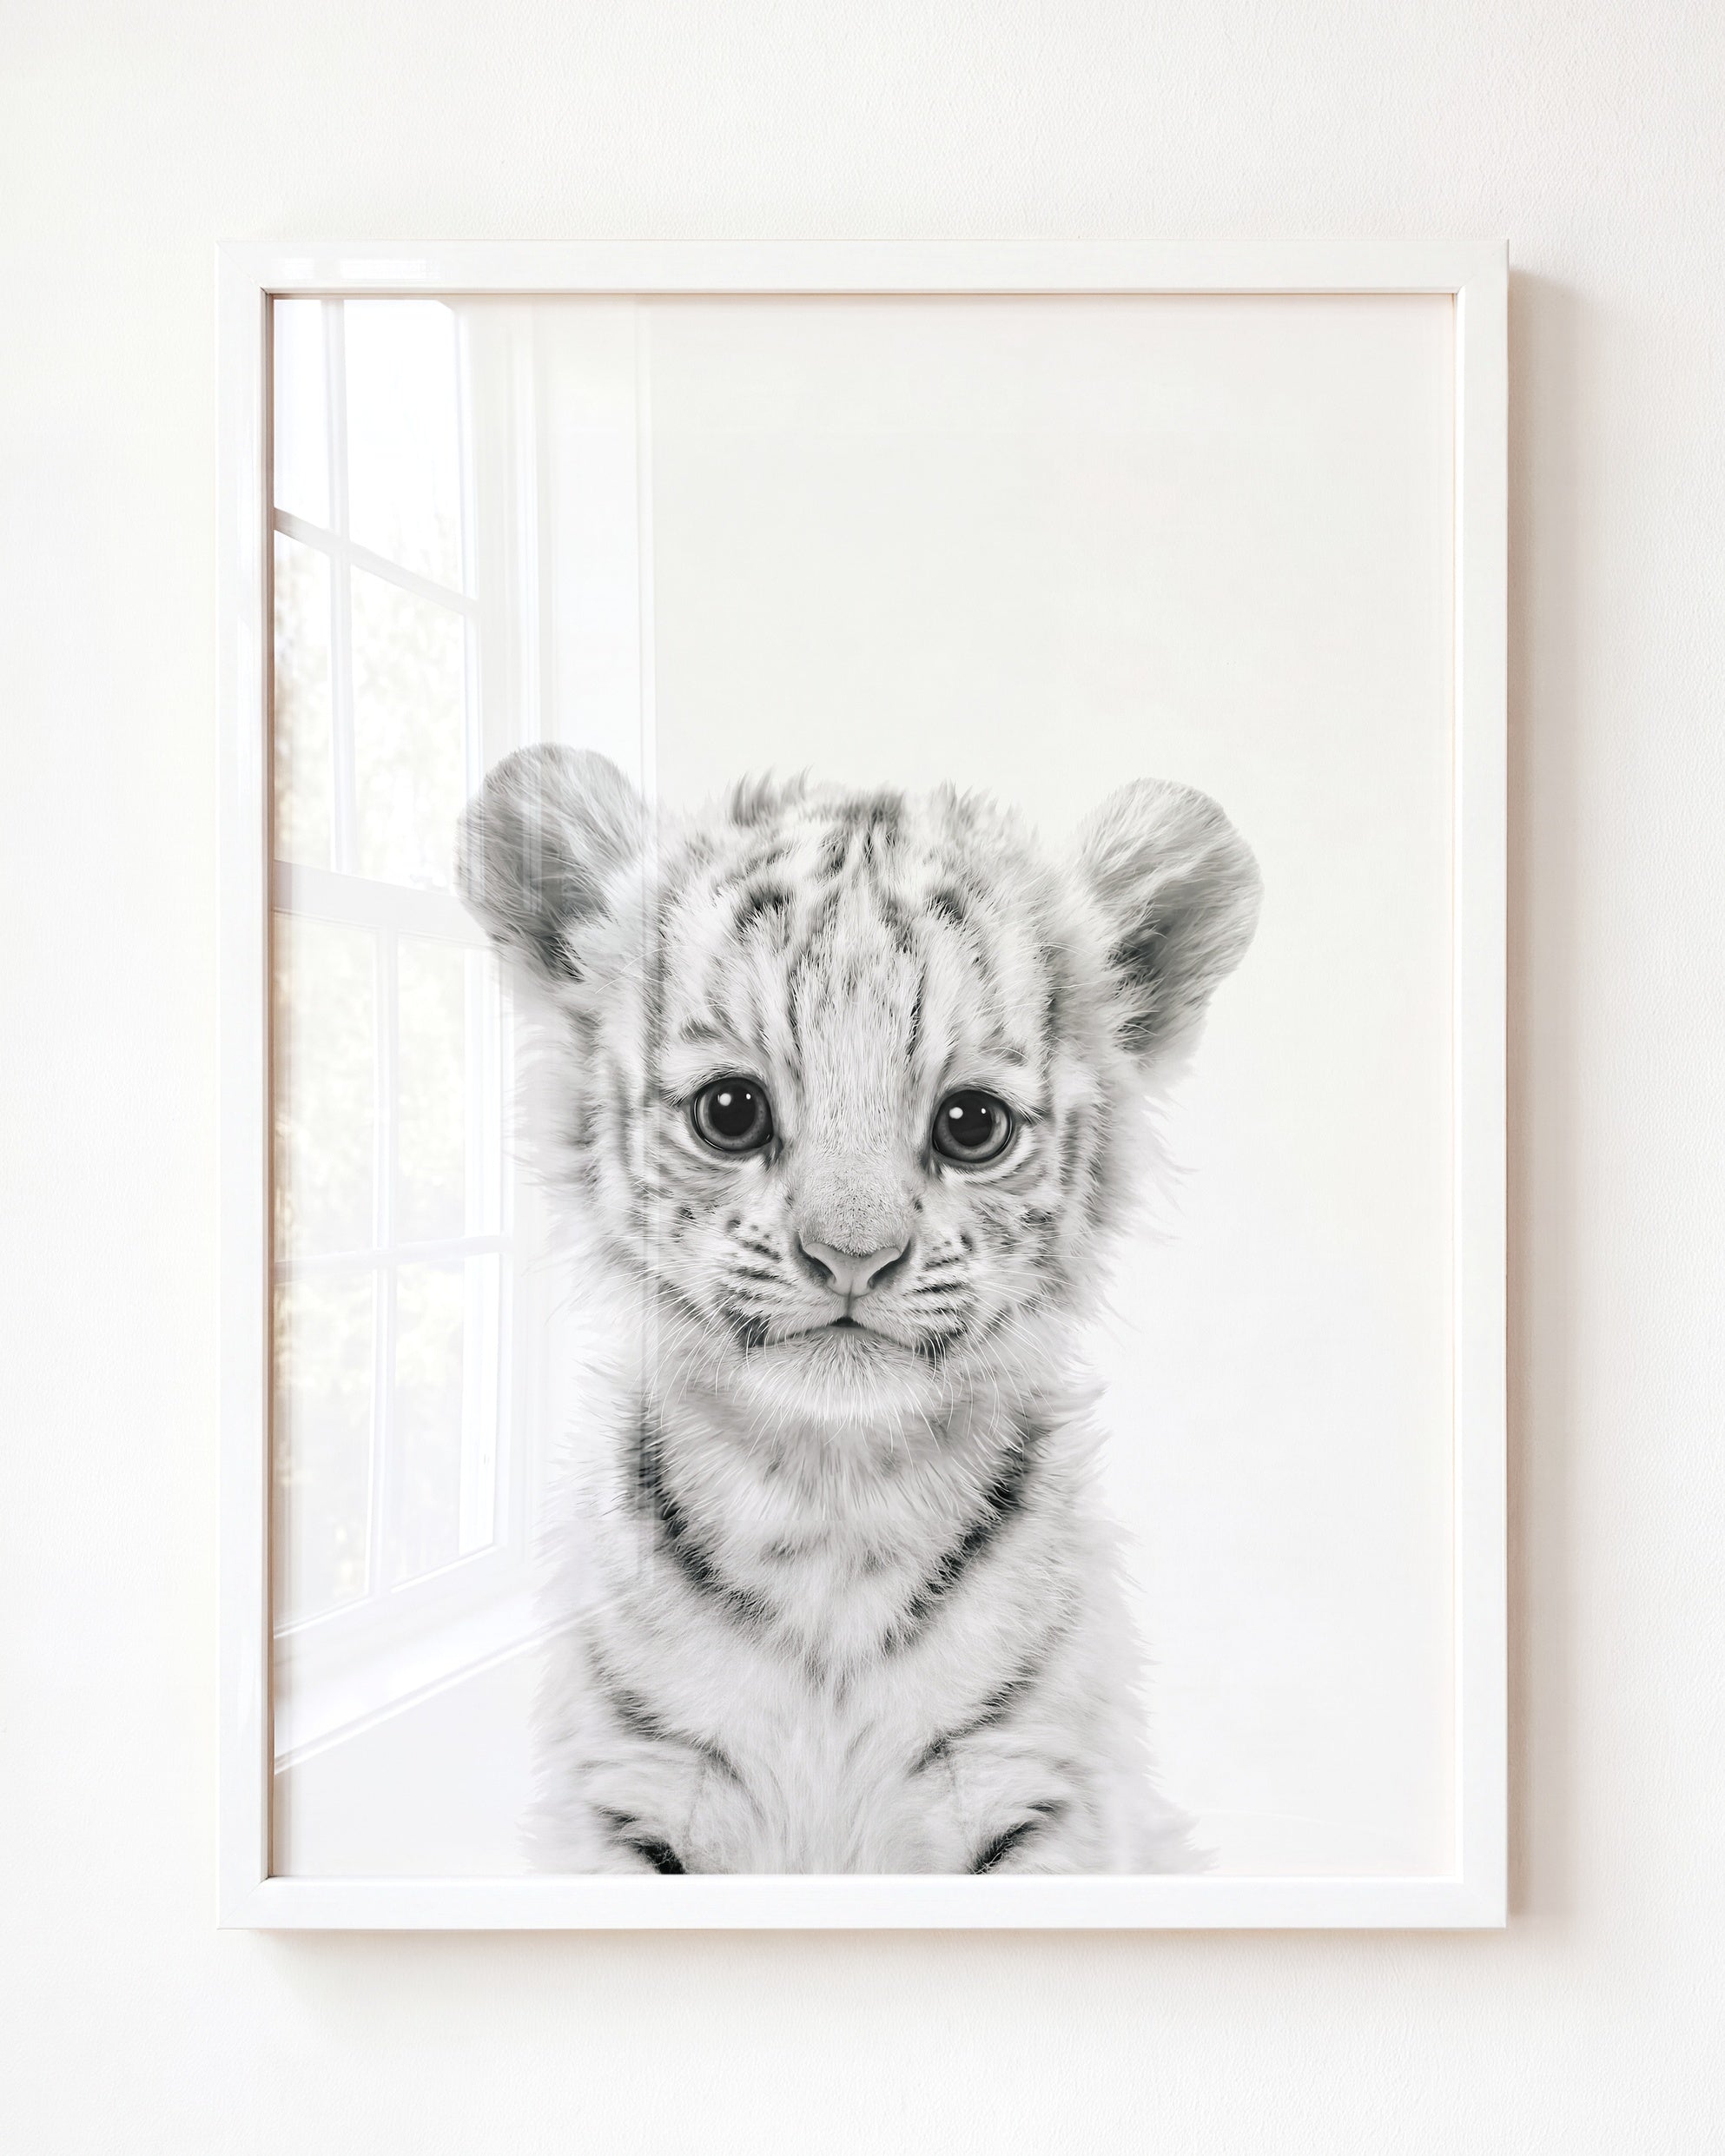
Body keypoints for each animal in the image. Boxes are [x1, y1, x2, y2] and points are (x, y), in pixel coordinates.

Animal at [458, 745, 1260, 1874]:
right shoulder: (631, 1795)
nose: (852, 1255)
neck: (829, 1509)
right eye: (731, 1111)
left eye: (972, 1124)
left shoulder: (1035, 1794)